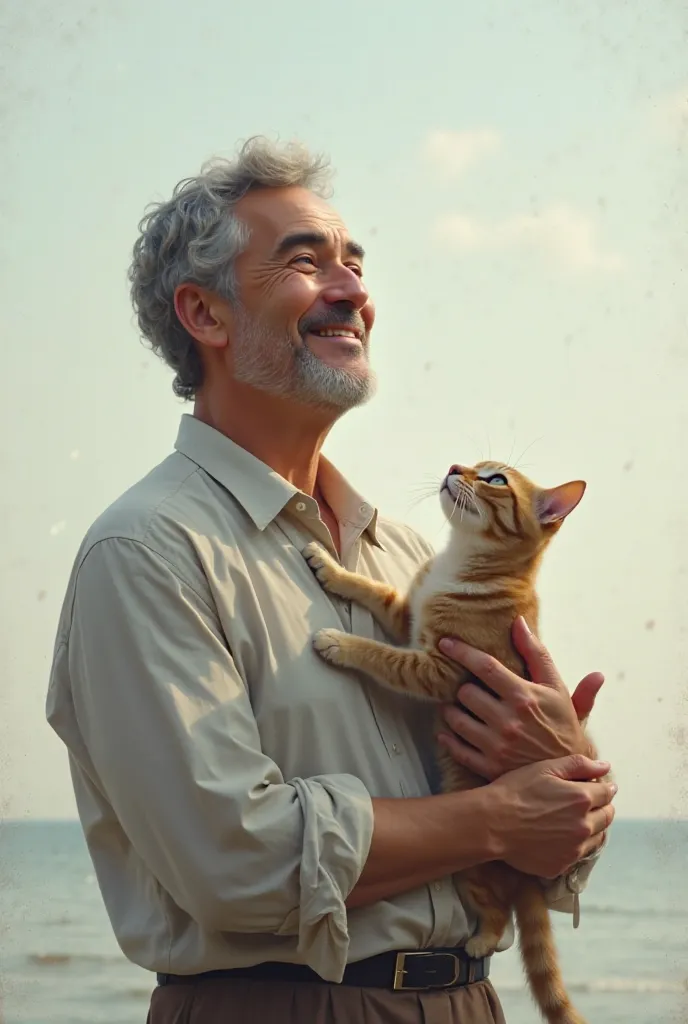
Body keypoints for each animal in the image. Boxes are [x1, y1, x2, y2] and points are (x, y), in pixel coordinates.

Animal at [303, 462, 593, 1024]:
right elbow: (373, 589)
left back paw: (482, 938)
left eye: (496, 480)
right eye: (475, 465)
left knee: (500, 918)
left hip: (472, 867)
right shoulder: (407, 611)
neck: (460, 564)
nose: (455, 467)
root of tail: (526, 875)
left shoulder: (438, 668)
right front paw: (331, 567)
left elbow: (381, 655)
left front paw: (340, 643)